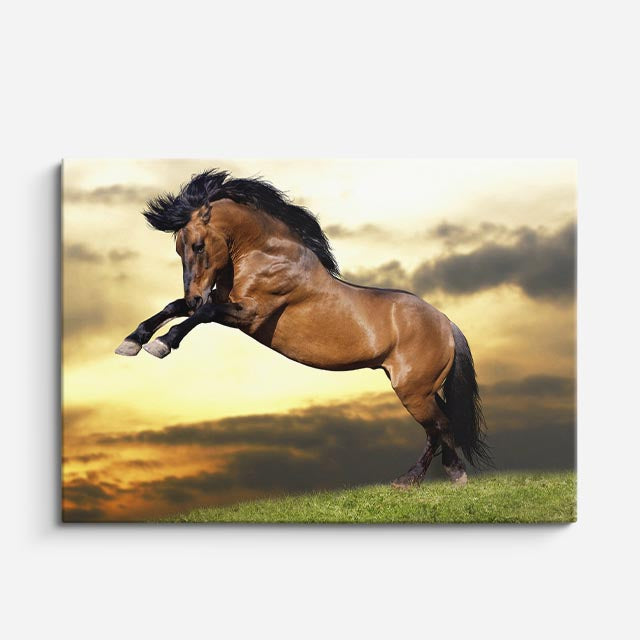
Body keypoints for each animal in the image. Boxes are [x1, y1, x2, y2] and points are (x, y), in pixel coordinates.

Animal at [115, 169, 491, 487]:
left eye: (197, 245)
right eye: (179, 248)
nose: (193, 293)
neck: (265, 255)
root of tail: (446, 323)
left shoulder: (249, 314)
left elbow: (201, 314)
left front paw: (162, 344)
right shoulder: (223, 303)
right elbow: (174, 308)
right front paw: (132, 342)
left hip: (413, 390)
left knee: (439, 426)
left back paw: (443, 477)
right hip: (420, 388)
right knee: (438, 426)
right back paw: (417, 479)